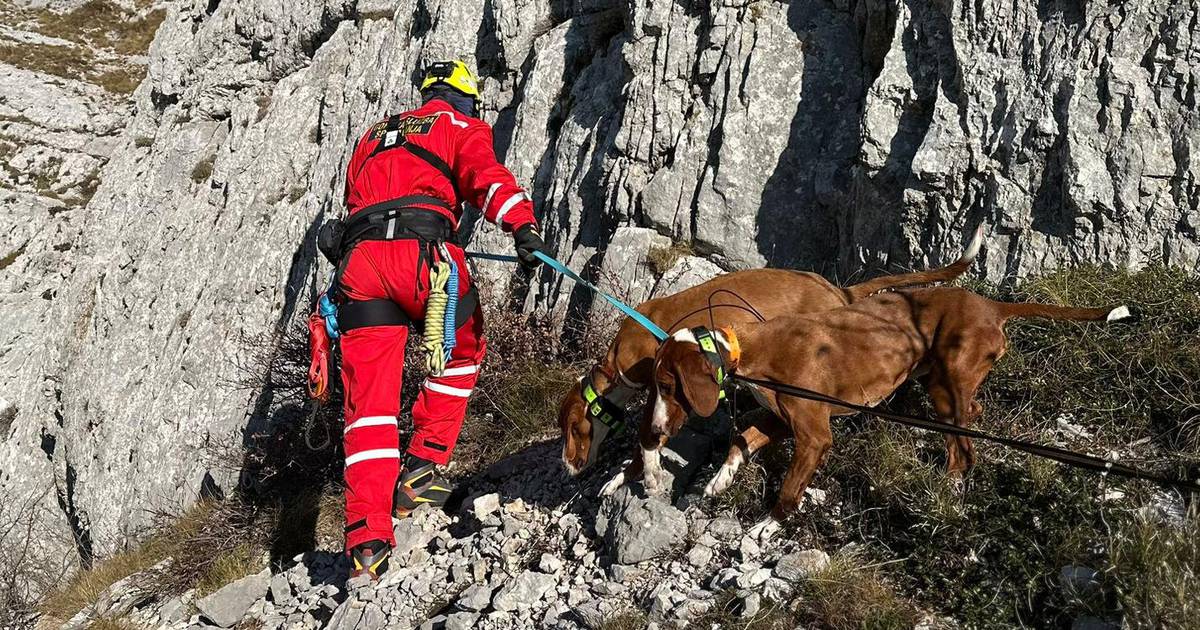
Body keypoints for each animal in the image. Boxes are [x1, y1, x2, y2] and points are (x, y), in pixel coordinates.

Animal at [556, 228, 979, 475]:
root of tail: (839, 291)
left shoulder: (667, 388)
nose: (568, 465)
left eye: (573, 430)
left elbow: (647, 436)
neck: (617, 360)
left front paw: (643, 475)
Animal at [633, 284, 1128, 535]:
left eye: (666, 386)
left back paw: (947, 496)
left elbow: (788, 492)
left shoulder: (814, 435)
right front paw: (717, 481)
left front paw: (766, 529)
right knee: (975, 414)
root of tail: (991, 303)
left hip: (947, 388)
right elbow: (741, 439)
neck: (747, 349)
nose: (653, 434)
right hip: (943, 387)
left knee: (964, 452)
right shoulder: (781, 418)